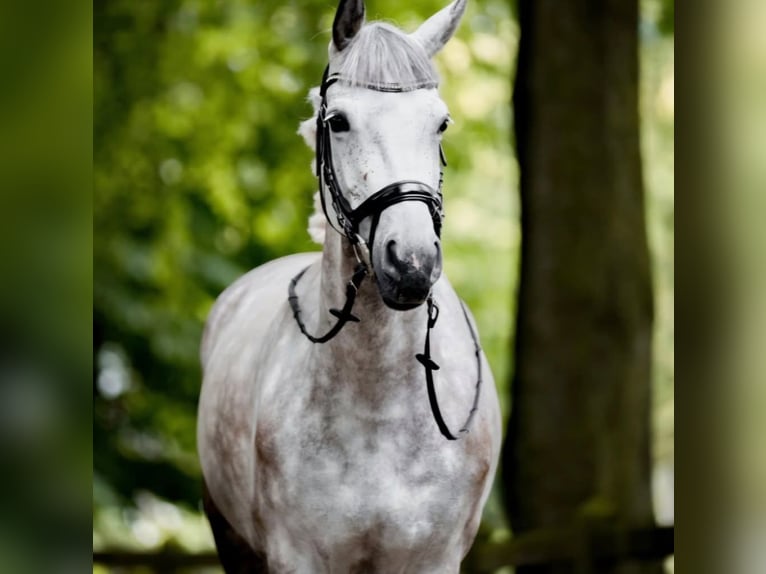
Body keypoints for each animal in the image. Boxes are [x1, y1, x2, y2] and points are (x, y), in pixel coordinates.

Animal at [197, 0, 501, 571]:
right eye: (338, 122)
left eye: (441, 123)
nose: (411, 262)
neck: (378, 409)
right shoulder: (294, 557)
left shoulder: (435, 560)